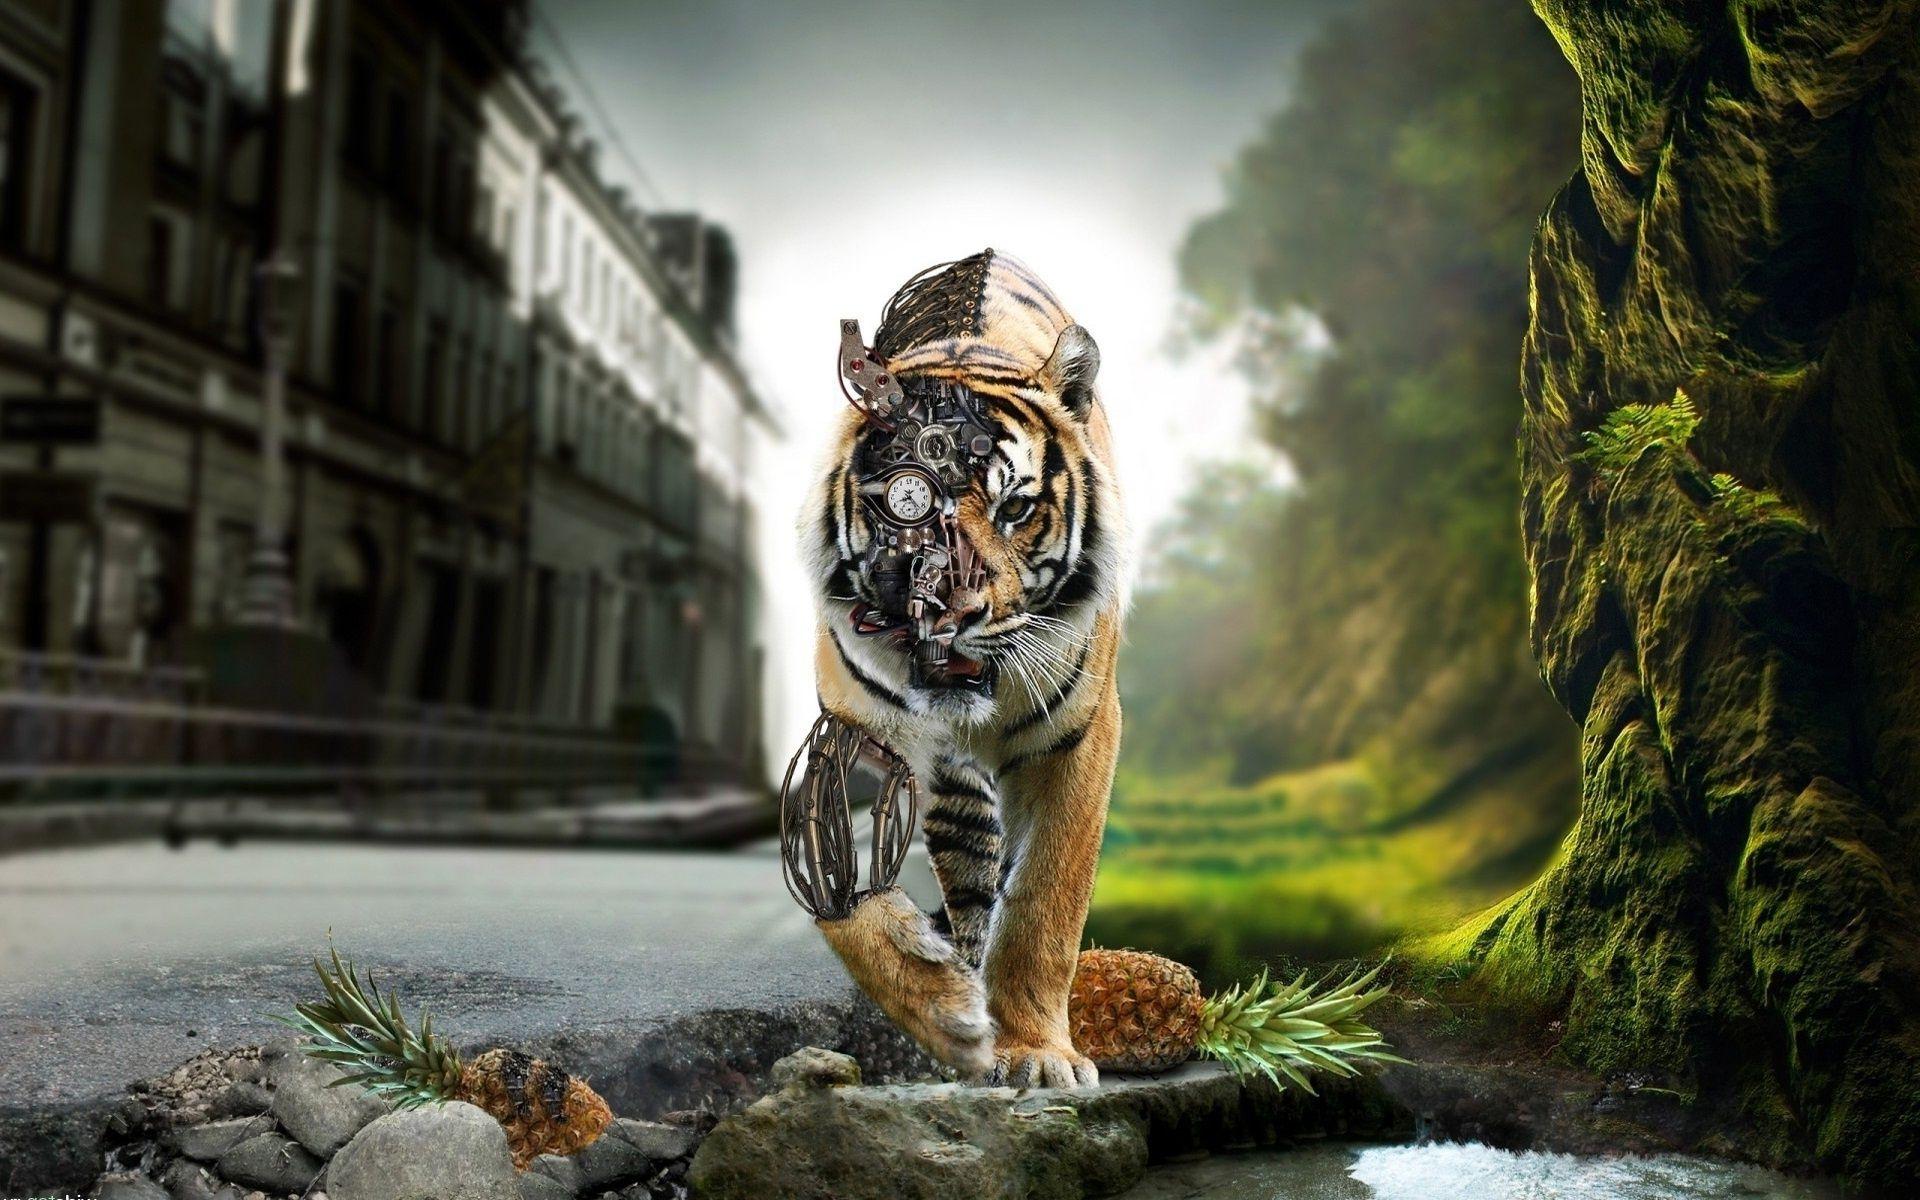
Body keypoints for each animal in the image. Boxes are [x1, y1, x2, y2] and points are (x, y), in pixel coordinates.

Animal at [801, 249, 1128, 1088]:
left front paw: (1037, 1052)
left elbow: (1046, 900)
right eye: (906, 505)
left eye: (1015, 510)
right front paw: (947, 1014)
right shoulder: (849, 737)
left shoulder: (1078, 738)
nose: (949, 612)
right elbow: (847, 900)